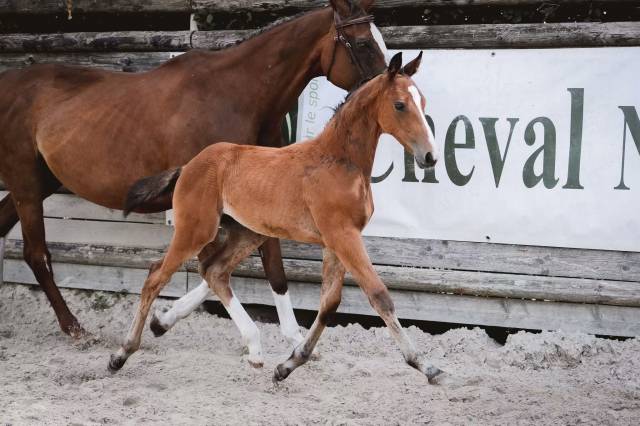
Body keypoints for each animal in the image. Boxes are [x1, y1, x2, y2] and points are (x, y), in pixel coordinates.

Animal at [0, 0, 387, 343]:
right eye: (364, 44)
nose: (388, 90)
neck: (235, 97)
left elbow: (265, 266)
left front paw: (292, 338)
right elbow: (210, 266)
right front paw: (165, 320)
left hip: (38, 182)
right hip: (26, 185)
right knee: (37, 254)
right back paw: (75, 329)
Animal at [109, 52, 442, 383]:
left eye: (424, 102)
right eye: (400, 105)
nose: (430, 157)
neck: (339, 161)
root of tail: (188, 165)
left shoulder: (335, 240)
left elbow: (329, 304)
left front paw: (289, 364)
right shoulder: (343, 235)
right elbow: (378, 295)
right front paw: (426, 366)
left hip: (249, 232)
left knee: (215, 272)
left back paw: (245, 347)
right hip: (196, 230)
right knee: (156, 276)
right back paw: (121, 354)